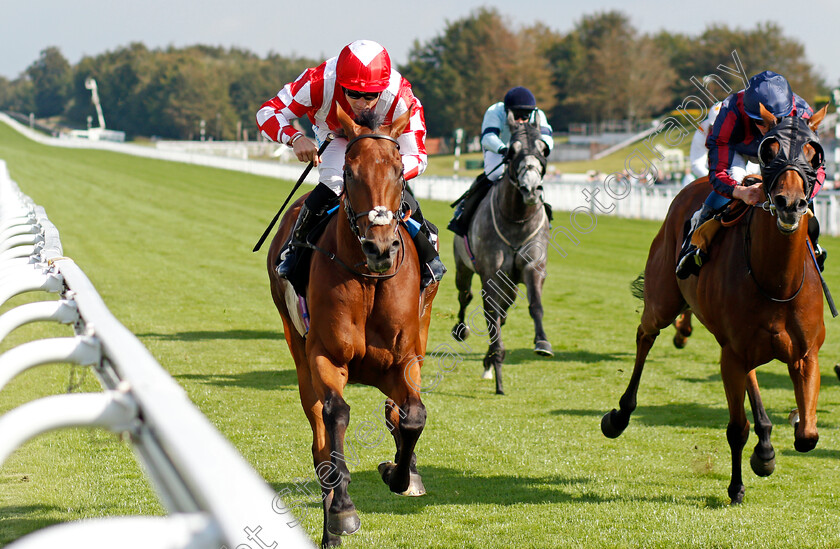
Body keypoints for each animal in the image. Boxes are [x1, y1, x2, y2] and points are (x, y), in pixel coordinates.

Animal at [268, 103, 440, 544]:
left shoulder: (402, 361)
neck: (370, 279)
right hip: (297, 349)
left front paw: (400, 473)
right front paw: (343, 510)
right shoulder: (326, 356)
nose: (379, 248)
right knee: (318, 436)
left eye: (398, 170)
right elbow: (336, 416)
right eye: (348, 172)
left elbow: (413, 416)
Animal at [450, 113, 556, 392]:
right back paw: (462, 331)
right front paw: (496, 365)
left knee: (504, 310)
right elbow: (491, 315)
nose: (531, 189)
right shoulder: (491, 274)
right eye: (512, 150)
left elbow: (535, 305)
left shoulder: (533, 267)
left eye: (543, 149)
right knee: (466, 295)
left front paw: (542, 343)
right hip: (462, 266)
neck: (516, 220)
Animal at [600, 101, 832, 500]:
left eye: (812, 152)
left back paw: (766, 444)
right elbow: (736, 429)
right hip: (663, 299)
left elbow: (807, 435)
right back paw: (619, 415)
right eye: (769, 151)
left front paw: (781, 434)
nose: (789, 203)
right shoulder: (732, 355)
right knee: (646, 335)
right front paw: (737, 486)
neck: (778, 281)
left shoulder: (805, 355)